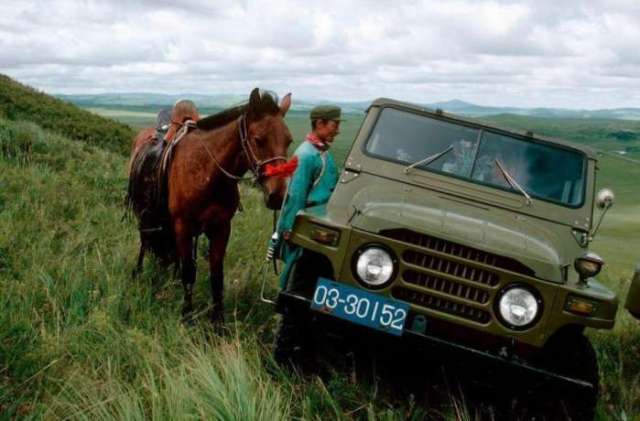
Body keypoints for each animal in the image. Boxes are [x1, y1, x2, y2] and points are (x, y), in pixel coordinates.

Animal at [129, 89, 294, 322]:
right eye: (258, 139)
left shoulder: (221, 227)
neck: (207, 172)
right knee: (145, 242)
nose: (277, 196)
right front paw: (187, 316)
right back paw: (138, 272)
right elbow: (189, 271)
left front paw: (218, 322)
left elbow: (216, 276)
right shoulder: (183, 226)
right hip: (145, 215)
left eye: (289, 141)